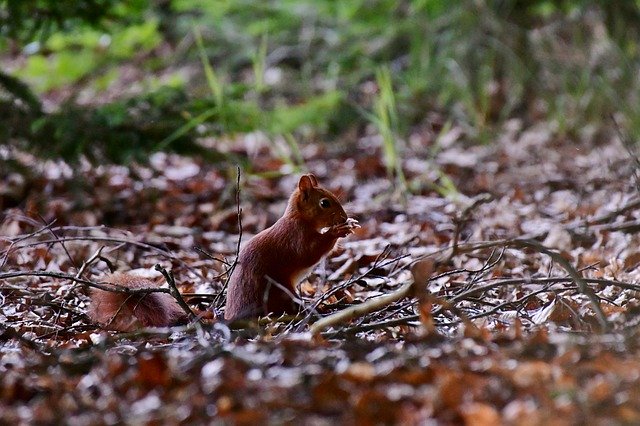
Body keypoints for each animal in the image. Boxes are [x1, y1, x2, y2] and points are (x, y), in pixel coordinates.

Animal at [87, 173, 358, 330]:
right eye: (325, 203)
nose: (343, 217)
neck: (299, 218)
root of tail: (231, 316)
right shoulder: (295, 238)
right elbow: (310, 252)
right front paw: (339, 231)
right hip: (280, 291)